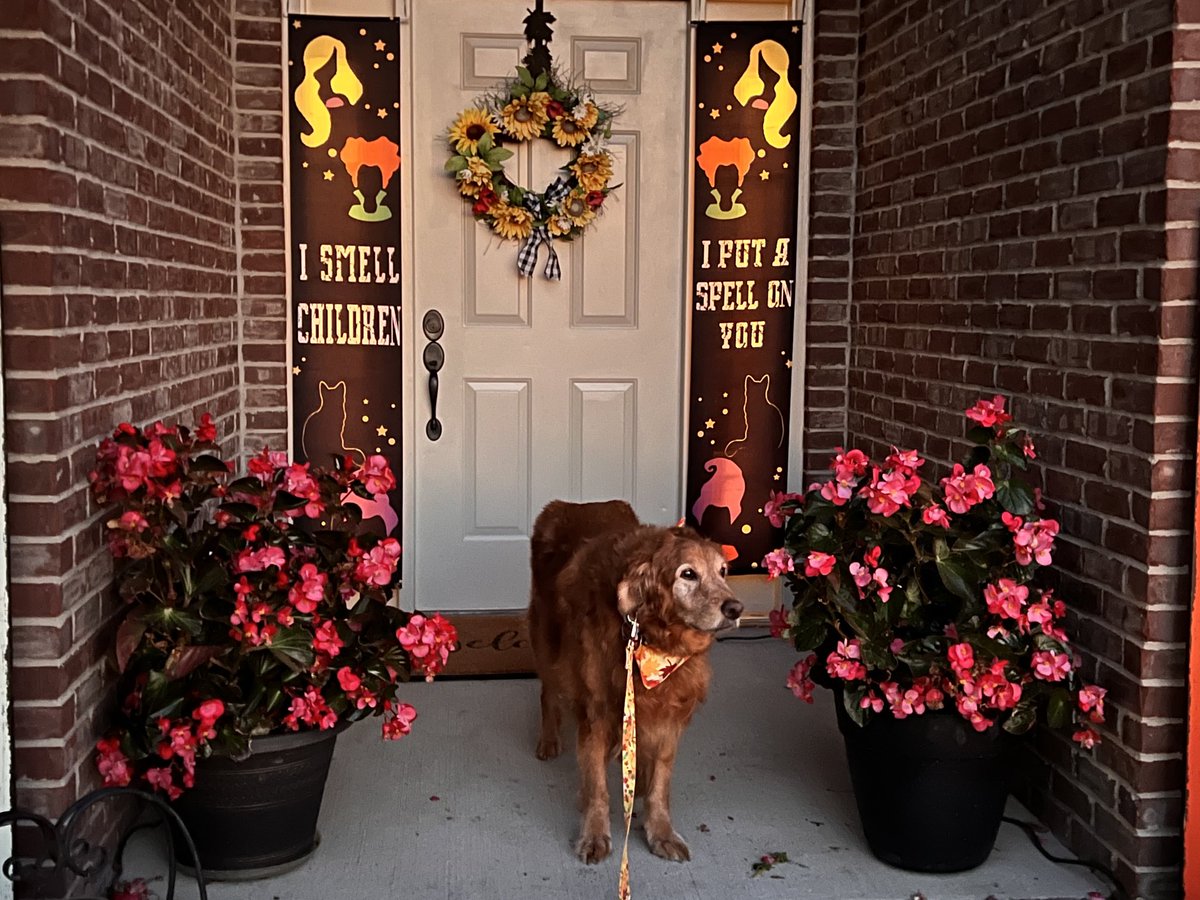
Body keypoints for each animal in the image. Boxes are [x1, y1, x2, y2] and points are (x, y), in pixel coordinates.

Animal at [528, 501, 739, 868]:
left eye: (723, 571)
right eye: (688, 574)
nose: (735, 608)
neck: (654, 638)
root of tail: (573, 504)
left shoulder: (669, 713)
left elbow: (660, 785)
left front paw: (661, 832)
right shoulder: (597, 712)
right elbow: (597, 786)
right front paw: (595, 835)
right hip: (547, 641)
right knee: (548, 691)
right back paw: (549, 739)